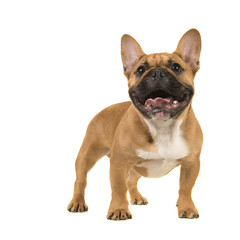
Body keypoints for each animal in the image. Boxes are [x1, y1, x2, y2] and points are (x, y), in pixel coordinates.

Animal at [67, 28, 202, 219]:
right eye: (140, 69)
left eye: (176, 67)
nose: (157, 73)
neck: (163, 128)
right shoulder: (118, 163)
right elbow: (118, 188)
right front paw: (118, 209)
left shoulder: (191, 162)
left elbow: (186, 188)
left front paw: (186, 207)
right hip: (88, 153)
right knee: (81, 179)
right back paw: (77, 202)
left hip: (139, 167)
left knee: (131, 179)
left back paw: (137, 197)